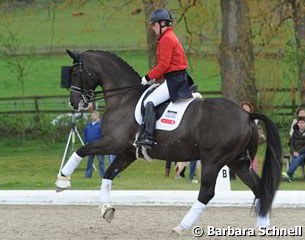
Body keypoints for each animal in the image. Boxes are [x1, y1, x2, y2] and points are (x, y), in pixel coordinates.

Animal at [55, 48, 282, 234]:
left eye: (75, 73)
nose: (74, 103)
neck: (123, 97)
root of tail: (247, 115)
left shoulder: (113, 142)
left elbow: (81, 151)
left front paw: (62, 181)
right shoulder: (127, 152)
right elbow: (109, 174)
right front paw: (106, 209)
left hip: (213, 161)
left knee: (207, 193)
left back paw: (182, 226)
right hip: (239, 162)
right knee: (259, 188)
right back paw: (263, 227)